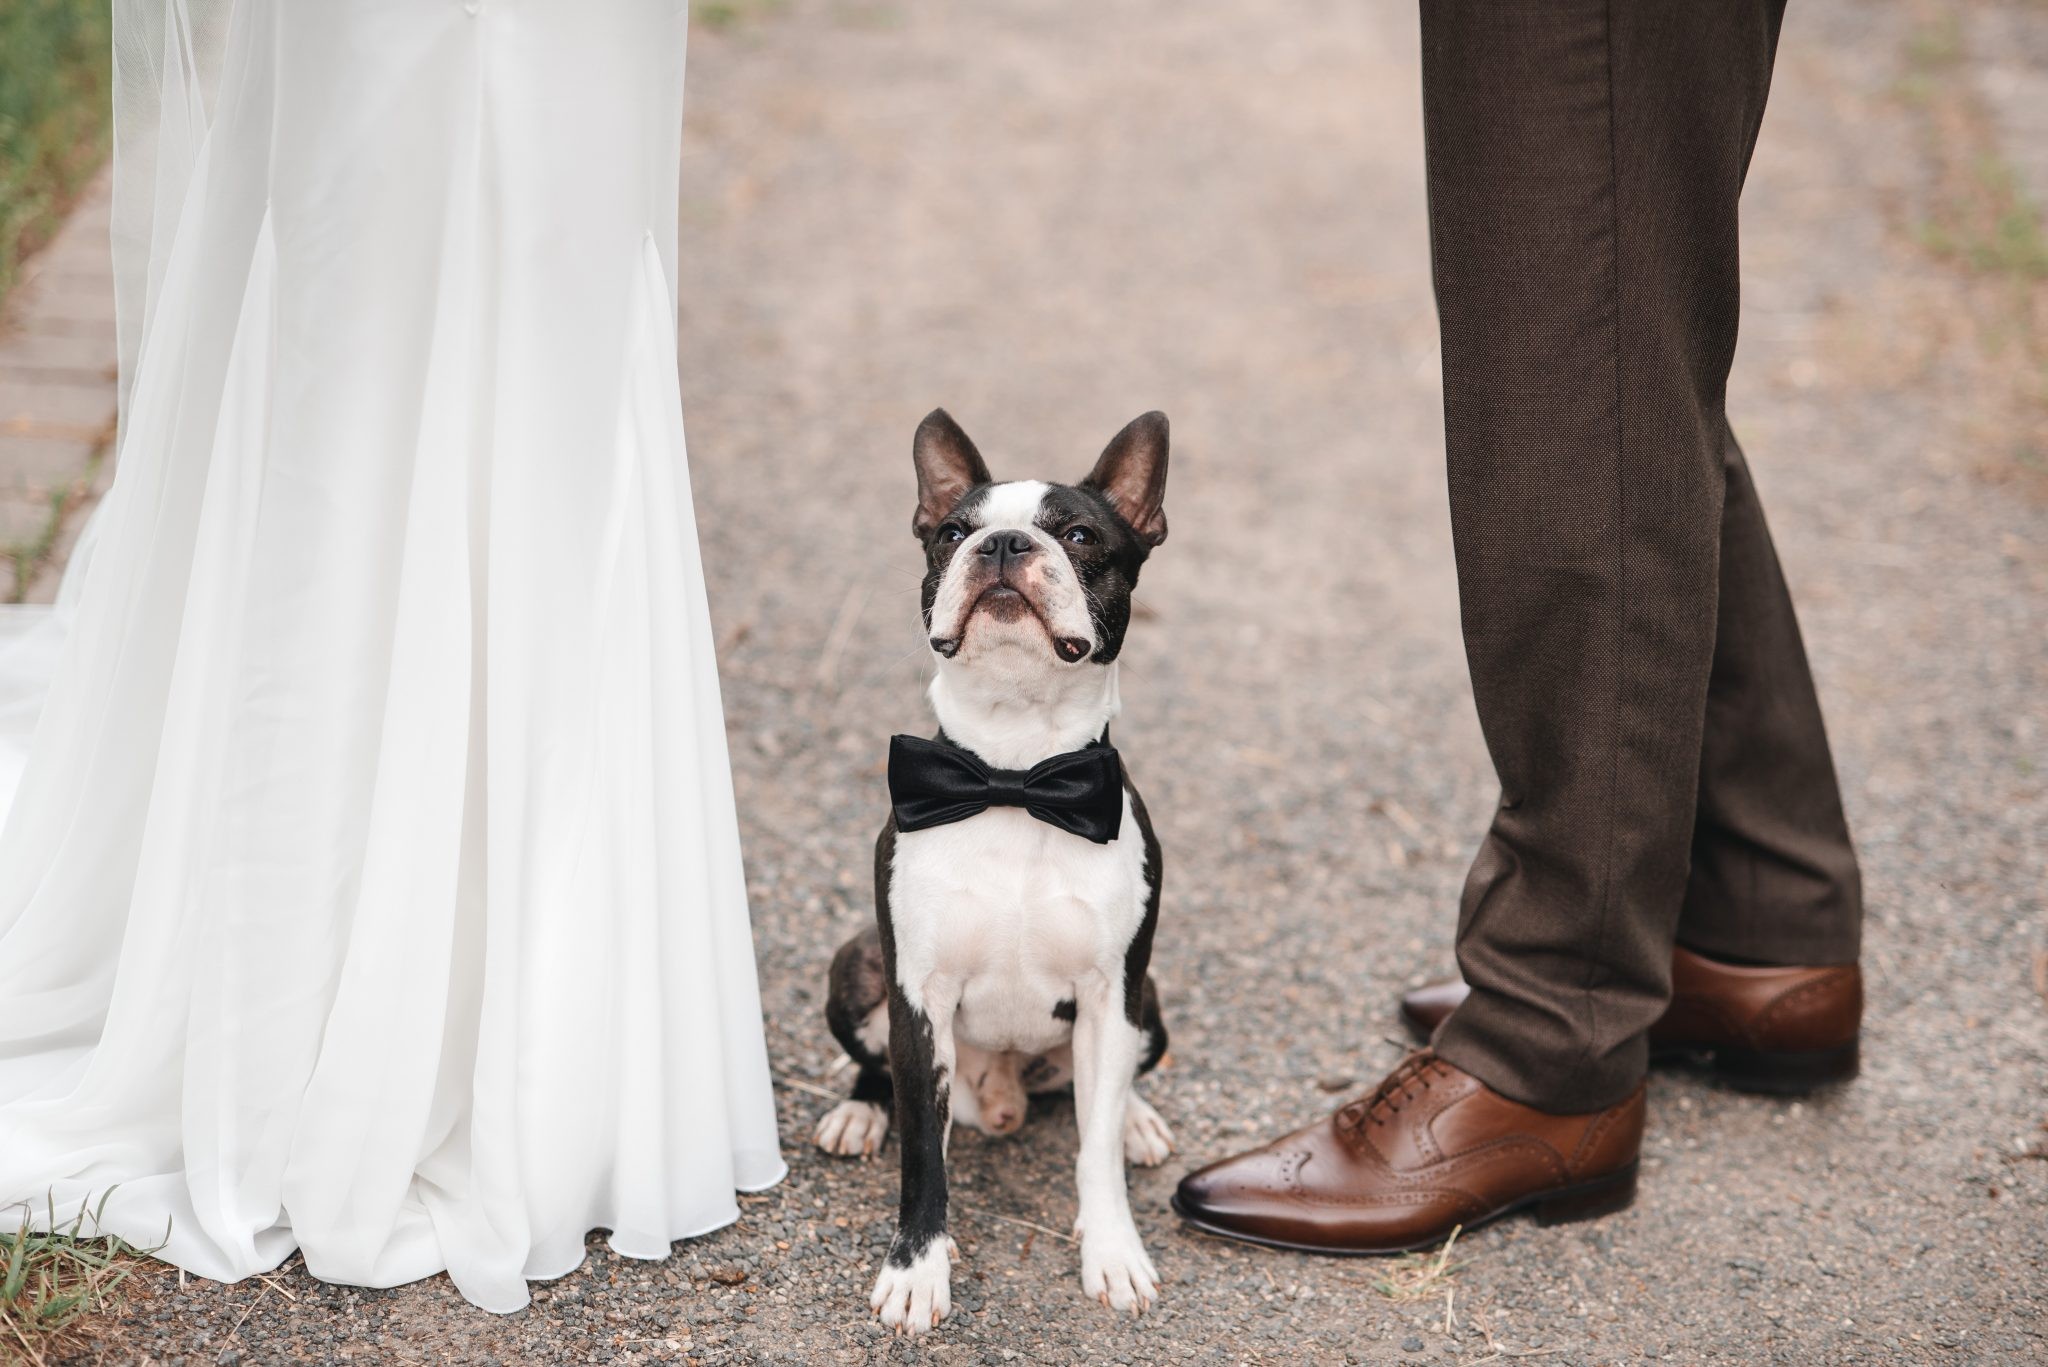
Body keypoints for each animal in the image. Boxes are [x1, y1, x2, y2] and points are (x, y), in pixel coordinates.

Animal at [811, 411, 1171, 1328]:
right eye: (951, 531)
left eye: (1080, 535)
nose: (1004, 542)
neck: (1015, 775)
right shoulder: (919, 1000)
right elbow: (923, 1161)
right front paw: (916, 1270)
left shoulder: (1112, 989)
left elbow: (1094, 1149)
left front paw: (1113, 1251)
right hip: (857, 965)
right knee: (877, 1069)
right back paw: (858, 1112)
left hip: (1148, 1001)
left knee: (1113, 1085)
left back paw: (1139, 1119)